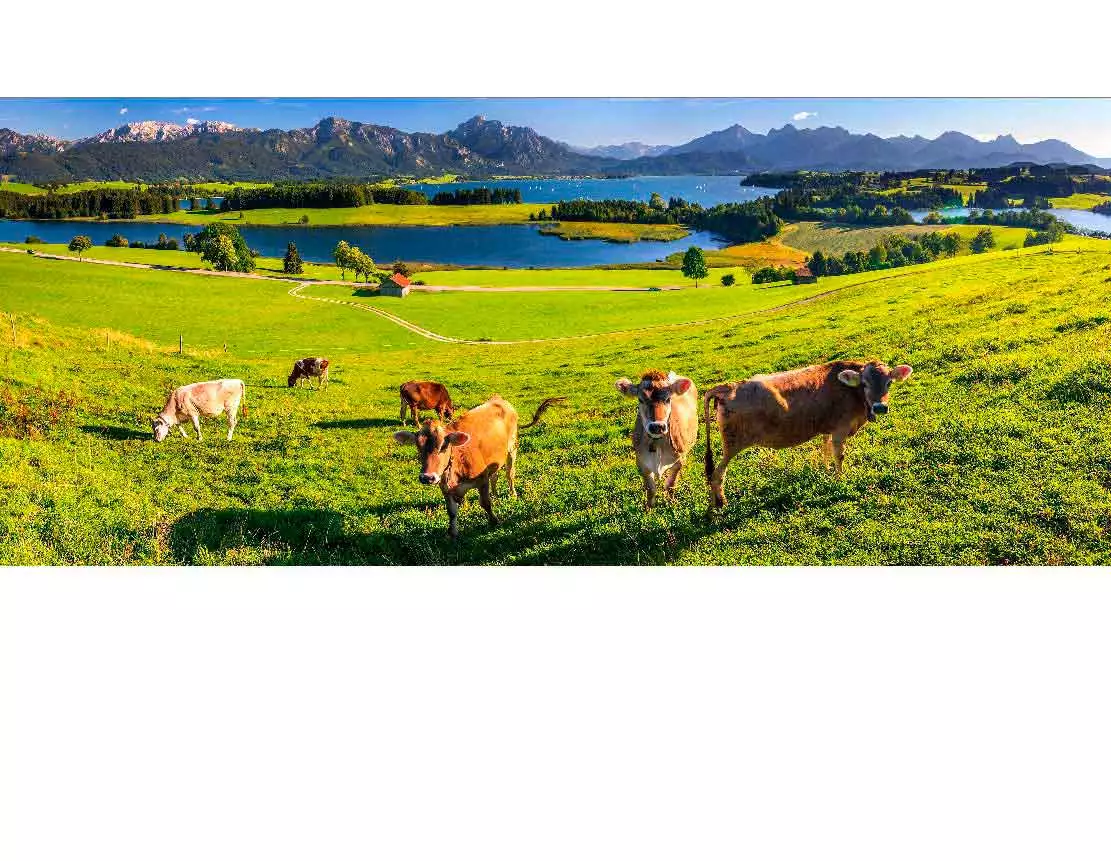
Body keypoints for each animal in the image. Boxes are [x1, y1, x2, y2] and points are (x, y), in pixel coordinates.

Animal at [392, 395, 565, 539]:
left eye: (443, 446)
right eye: (418, 447)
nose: (427, 477)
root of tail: (499, 398)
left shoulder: (481, 480)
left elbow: (485, 503)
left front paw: (495, 521)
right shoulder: (445, 487)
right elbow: (452, 512)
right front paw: (452, 533)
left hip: (512, 448)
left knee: (509, 473)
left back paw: (512, 493)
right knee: (495, 475)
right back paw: (495, 493)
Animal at [614, 370, 698, 509]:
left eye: (668, 399)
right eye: (640, 399)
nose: (656, 426)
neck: (657, 443)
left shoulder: (680, 460)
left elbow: (670, 485)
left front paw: (671, 504)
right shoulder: (641, 463)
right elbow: (650, 489)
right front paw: (648, 508)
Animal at [703, 360, 913, 509]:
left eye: (889, 383)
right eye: (864, 383)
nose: (880, 407)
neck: (852, 394)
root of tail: (727, 386)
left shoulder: (828, 427)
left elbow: (825, 449)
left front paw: (827, 470)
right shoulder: (841, 429)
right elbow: (839, 455)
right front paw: (840, 479)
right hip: (732, 445)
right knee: (717, 474)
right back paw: (720, 506)